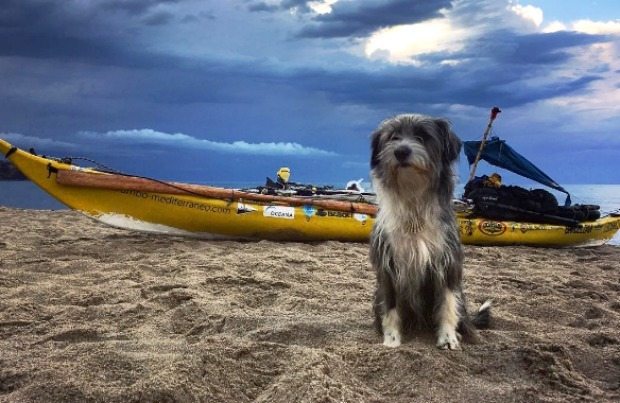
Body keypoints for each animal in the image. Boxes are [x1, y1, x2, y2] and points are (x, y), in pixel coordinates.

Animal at [370, 113, 492, 350]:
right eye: (393, 137)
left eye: (422, 136)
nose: (401, 151)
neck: (414, 207)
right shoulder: (388, 268)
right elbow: (390, 308)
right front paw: (391, 339)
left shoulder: (447, 265)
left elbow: (447, 304)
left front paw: (448, 338)